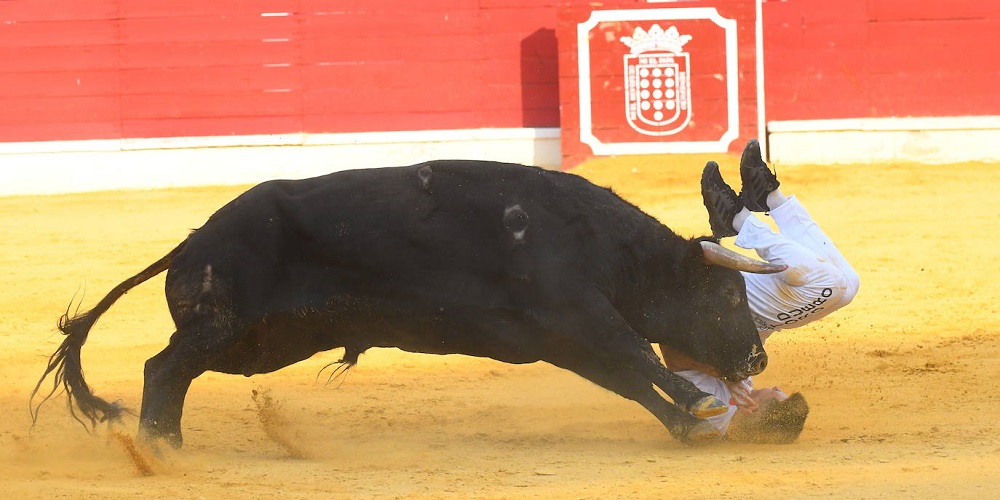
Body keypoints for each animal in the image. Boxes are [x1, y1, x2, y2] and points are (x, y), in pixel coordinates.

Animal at [29, 159, 780, 446]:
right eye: (724, 295)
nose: (756, 359)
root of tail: (191, 242)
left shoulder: (563, 339)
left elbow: (629, 379)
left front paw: (686, 424)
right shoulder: (577, 314)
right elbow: (637, 358)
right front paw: (699, 405)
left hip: (255, 344)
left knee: (174, 372)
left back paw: (166, 442)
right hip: (225, 326)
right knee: (162, 368)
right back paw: (163, 446)